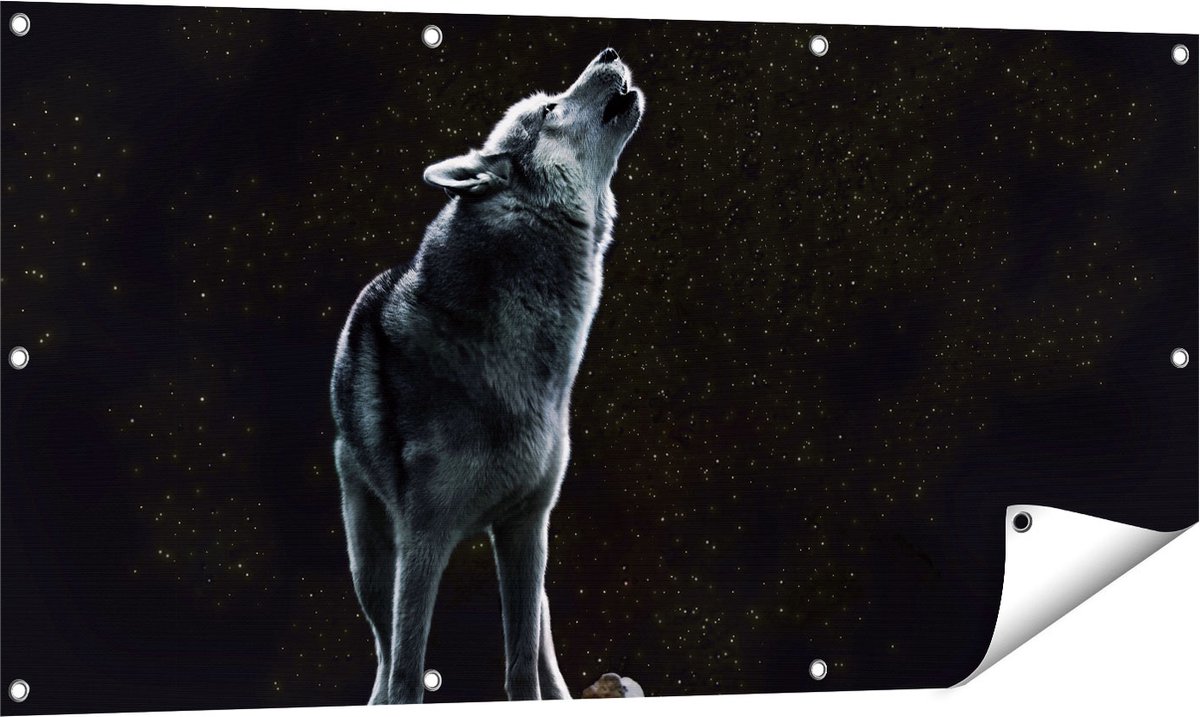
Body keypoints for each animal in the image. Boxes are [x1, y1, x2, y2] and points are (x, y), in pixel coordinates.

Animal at [330, 48, 644, 704]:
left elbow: (523, 664)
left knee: (546, 645)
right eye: (548, 109)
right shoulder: (422, 543)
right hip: (369, 561)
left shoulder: (527, 524)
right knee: (382, 649)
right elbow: (407, 671)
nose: (607, 53)